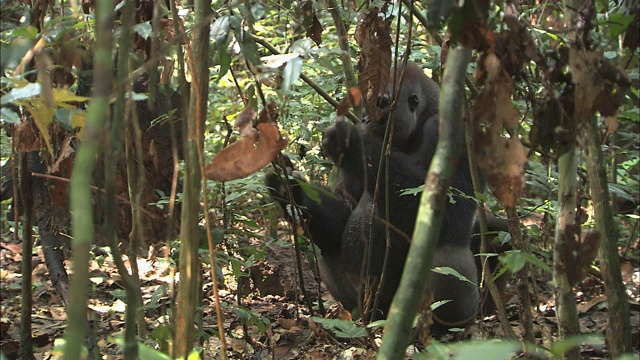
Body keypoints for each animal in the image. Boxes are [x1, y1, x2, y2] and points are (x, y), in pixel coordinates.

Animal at [268, 62, 502, 330]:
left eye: (381, 104)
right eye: (366, 105)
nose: (365, 119)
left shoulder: (456, 132)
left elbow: (451, 212)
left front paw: (352, 142)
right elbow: (343, 214)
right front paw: (290, 189)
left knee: (445, 255)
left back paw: (441, 326)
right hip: (364, 304)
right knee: (330, 248)